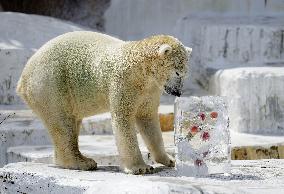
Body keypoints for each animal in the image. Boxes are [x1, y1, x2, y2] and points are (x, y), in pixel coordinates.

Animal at [17, 31, 191, 174]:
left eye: (185, 74)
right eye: (177, 73)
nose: (178, 92)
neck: (141, 69)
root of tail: (22, 80)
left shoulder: (150, 90)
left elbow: (148, 119)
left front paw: (169, 160)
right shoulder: (124, 82)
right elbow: (123, 120)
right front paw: (140, 167)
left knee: (71, 122)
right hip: (51, 84)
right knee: (63, 122)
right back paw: (82, 162)